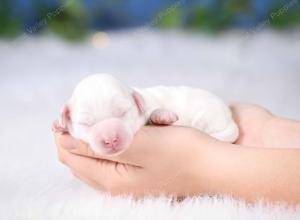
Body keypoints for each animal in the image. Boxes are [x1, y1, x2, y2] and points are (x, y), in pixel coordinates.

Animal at [52, 75, 238, 156]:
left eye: (123, 112)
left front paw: (162, 115)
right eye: (86, 124)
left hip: (207, 117)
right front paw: (59, 124)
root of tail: (230, 118)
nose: (111, 139)